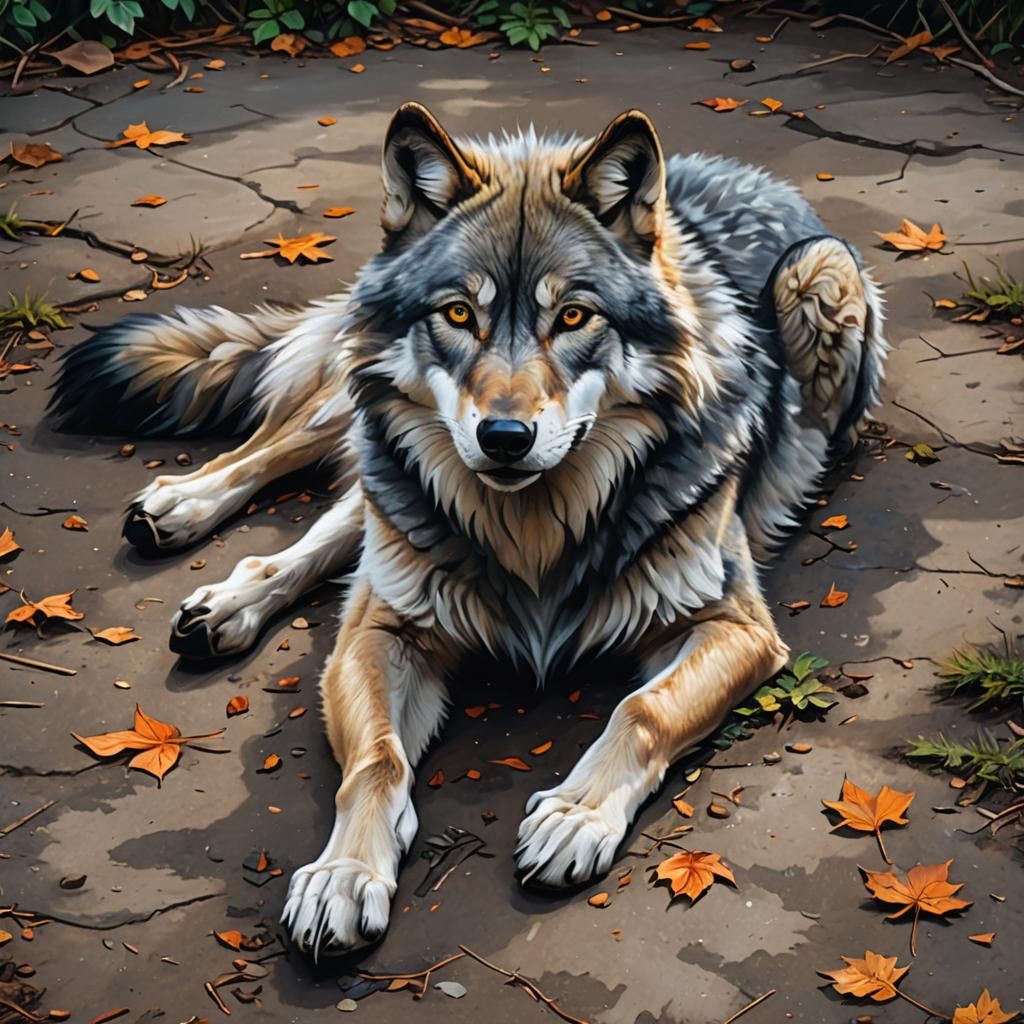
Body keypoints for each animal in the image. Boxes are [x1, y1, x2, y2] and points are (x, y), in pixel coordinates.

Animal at [51, 103, 886, 956]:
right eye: (459, 313)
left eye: (573, 317)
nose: (505, 438)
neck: (535, 537)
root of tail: (721, 169)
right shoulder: (383, 632)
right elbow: (379, 759)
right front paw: (344, 875)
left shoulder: (737, 628)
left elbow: (641, 710)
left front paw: (575, 815)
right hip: (366, 424)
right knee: (294, 469)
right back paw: (190, 529)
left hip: (820, 271)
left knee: (341, 525)